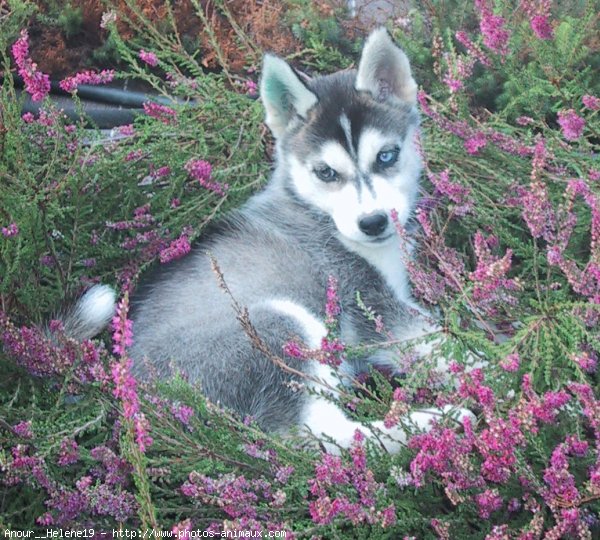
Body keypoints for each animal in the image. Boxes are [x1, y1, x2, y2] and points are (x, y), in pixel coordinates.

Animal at [74, 28, 468, 452]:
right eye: (326, 172)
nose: (373, 222)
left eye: (387, 156)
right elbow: (446, 346)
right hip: (277, 326)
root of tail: (133, 400)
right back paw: (439, 423)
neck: (318, 212)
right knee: (324, 438)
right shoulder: (372, 307)